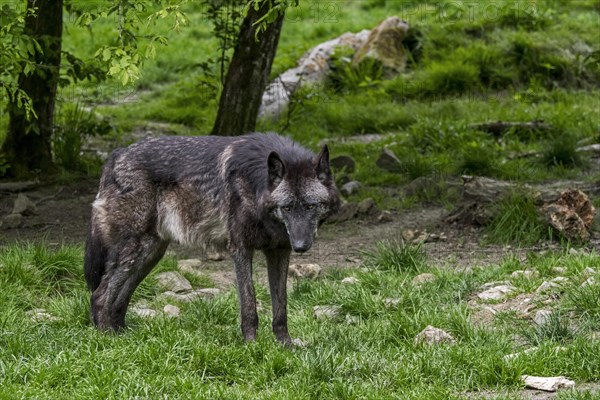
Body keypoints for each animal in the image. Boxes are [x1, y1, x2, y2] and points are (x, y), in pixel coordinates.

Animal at [82, 133, 340, 346]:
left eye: (310, 206)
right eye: (286, 208)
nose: (301, 246)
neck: (256, 185)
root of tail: (116, 155)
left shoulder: (280, 251)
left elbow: (281, 306)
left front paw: (285, 346)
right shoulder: (240, 248)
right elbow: (249, 304)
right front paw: (253, 347)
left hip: (150, 255)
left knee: (119, 299)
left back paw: (124, 337)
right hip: (135, 251)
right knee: (100, 296)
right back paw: (108, 340)